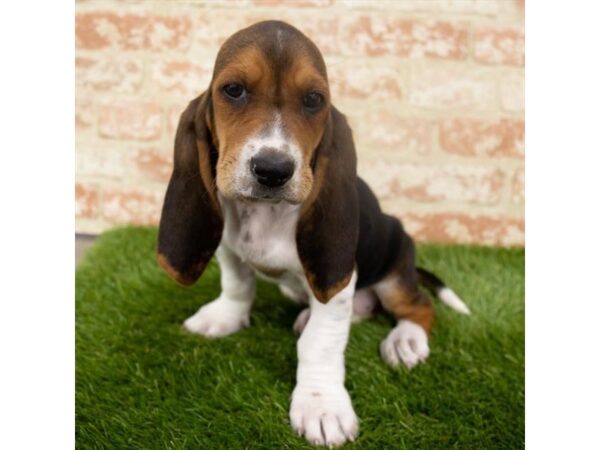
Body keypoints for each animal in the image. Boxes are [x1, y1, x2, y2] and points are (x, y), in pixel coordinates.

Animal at [157, 20, 472, 446]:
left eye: (313, 99)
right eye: (233, 90)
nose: (273, 169)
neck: (267, 213)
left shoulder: (336, 277)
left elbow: (320, 343)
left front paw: (322, 406)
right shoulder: (229, 248)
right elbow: (238, 285)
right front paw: (224, 316)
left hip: (393, 269)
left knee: (417, 306)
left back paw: (405, 340)